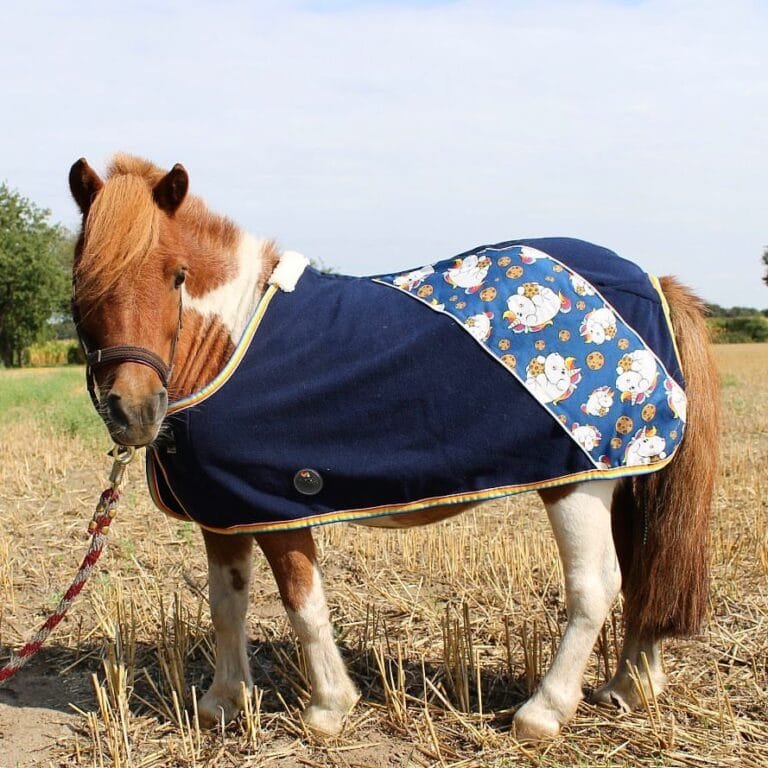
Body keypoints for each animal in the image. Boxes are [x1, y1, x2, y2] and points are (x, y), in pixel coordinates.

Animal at [68, 153, 719, 742]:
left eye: (177, 275)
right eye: (82, 280)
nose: (132, 412)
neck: (229, 343)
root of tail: (651, 282)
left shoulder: (278, 507)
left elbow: (303, 605)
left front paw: (328, 709)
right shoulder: (225, 513)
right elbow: (227, 603)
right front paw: (222, 703)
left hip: (580, 481)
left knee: (596, 586)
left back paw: (544, 712)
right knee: (643, 572)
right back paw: (629, 686)